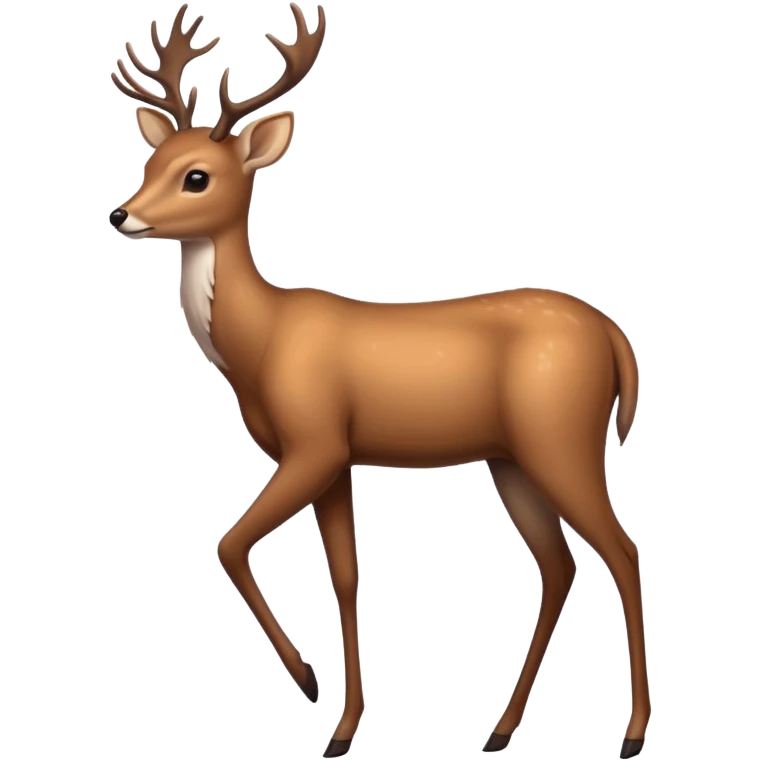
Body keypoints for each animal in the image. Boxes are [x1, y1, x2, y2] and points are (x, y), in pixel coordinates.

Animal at [108, 3, 651, 758]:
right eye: (151, 160)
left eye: (196, 176)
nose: (121, 214)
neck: (262, 344)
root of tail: (615, 338)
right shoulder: (338, 460)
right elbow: (345, 576)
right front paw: (342, 727)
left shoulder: (314, 443)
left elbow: (230, 542)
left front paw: (309, 682)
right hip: (510, 458)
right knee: (559, 564)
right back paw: (499, 729)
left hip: (561, 439)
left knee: (623, 551)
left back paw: (630, 733)